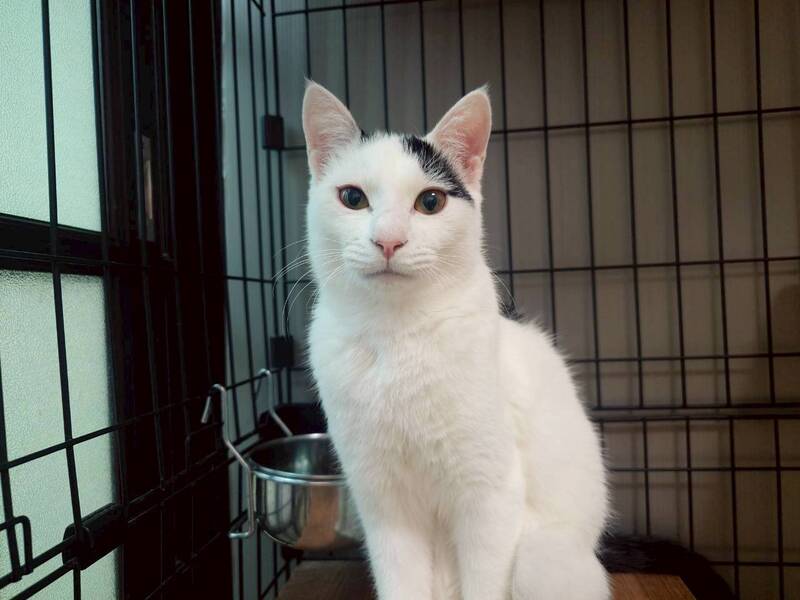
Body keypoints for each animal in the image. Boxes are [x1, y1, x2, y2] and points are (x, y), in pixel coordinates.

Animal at [302, 81, 609, 600]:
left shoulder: (491, 495)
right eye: (352, 197)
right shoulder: (383, 503)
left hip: (541, 559)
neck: (398, 335)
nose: (388, 240)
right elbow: (400, 581)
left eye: (430, 202)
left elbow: (485, 581)